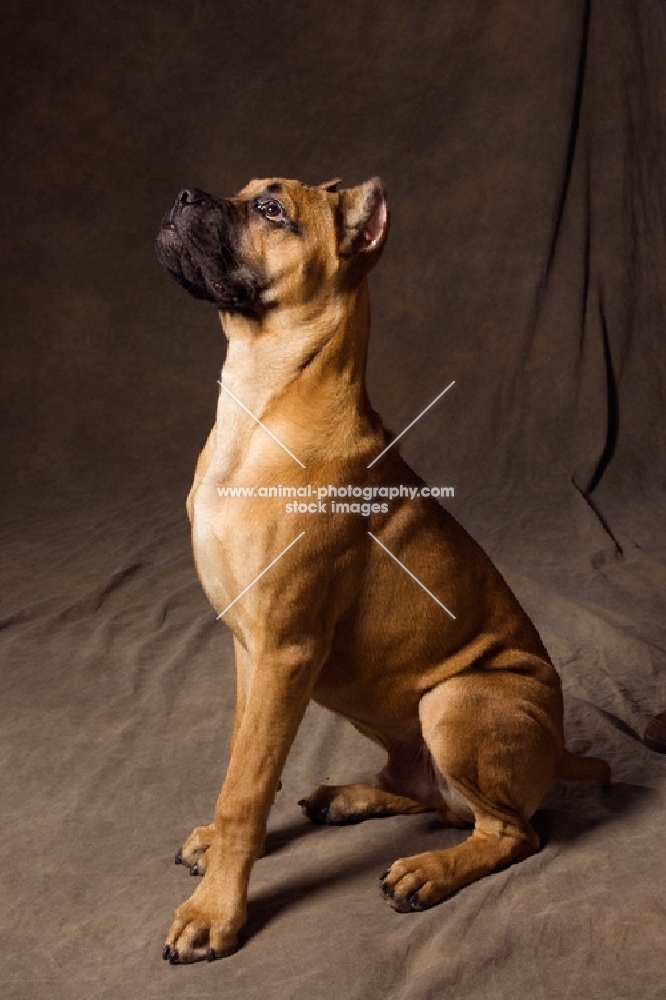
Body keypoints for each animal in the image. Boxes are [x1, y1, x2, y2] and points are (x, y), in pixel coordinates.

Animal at [154, 176, 608, 964]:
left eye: (272, 209)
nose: (184, 194)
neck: (264, 400)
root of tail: (558, 752)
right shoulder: (249, 649)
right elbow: (245, 761)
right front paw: (220, 850)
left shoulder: (284, 650)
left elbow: (246, 786)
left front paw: (215, 910)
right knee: (431, 794)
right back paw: (350, 797)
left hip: (454, 699)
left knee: (510, 831)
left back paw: (429, 871)